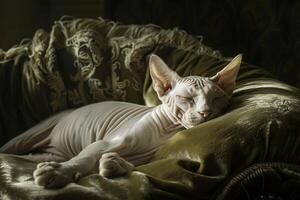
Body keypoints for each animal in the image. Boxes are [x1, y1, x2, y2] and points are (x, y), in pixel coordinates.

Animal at [0, 54, 241, 188]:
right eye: (187, 98)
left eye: (216, 98)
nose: (205, 112)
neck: (168, 130)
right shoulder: (105, 142)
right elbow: (85, 158)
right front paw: (60, 172)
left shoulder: (146, 160)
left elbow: (134, 166)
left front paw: (115, 165)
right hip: (27, 137)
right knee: (8, 149)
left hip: (45, 154)